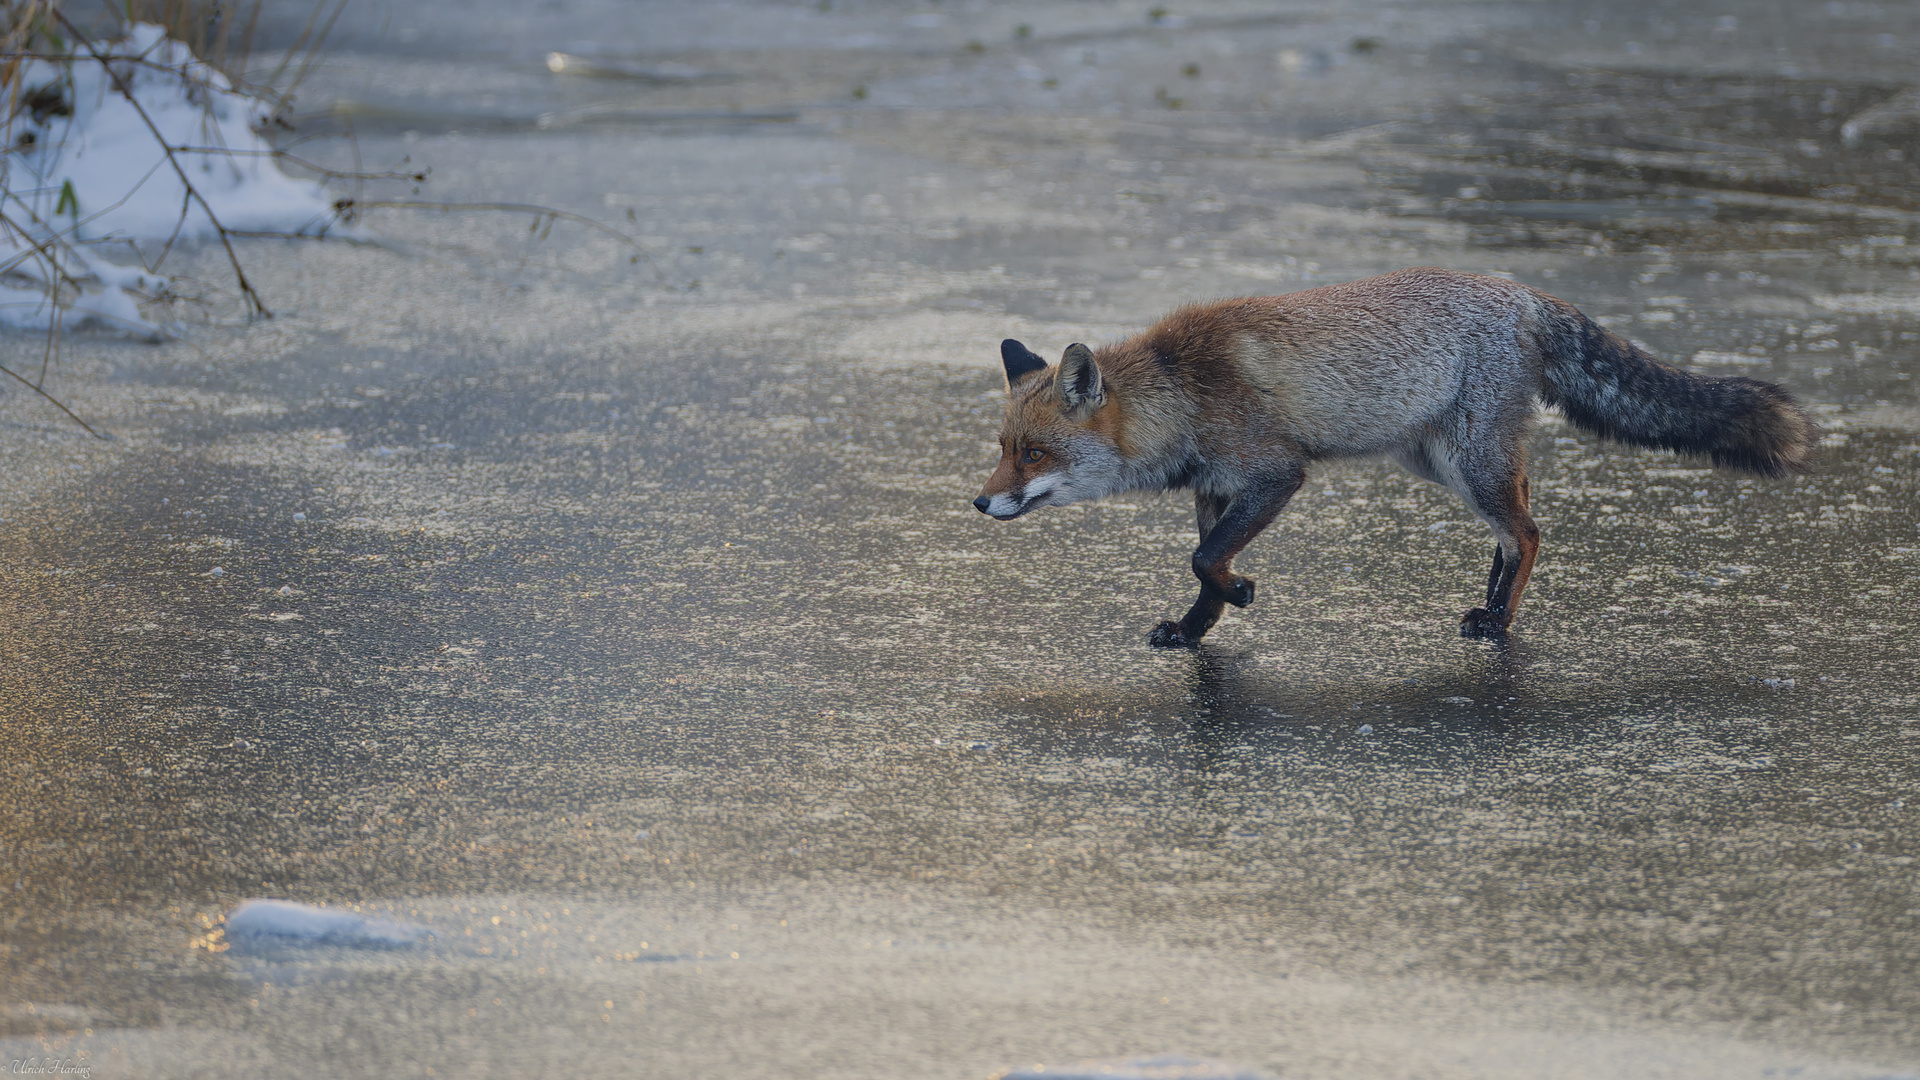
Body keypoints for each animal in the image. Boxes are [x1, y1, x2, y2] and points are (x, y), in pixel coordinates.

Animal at [975, 265, 1812, 641]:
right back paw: (1491, 597)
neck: (1184, 391)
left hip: (1469, 461)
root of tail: (1523, 292)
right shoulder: (1215, 487)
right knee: (1517, 524)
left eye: (1035, 453)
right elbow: (1205, 565)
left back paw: (1498, 620)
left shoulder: (1275, 473)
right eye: (1004, 450)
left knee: (1530, 531)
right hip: (1444, 463)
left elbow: (1206, 558)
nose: (980, 502)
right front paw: (1197, 626)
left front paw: (1237, 594)